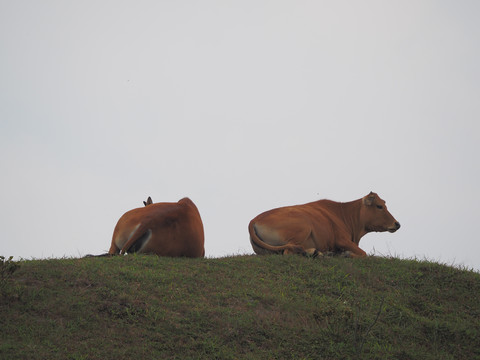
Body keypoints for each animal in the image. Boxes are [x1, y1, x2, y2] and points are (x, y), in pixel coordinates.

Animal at [249, 193, 400, 258]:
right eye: (379, 206)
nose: (397, 224)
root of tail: (254, 219)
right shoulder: (342, 240)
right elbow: (364, 253)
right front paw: (346, 254)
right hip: (304, 225)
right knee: (288, 251)